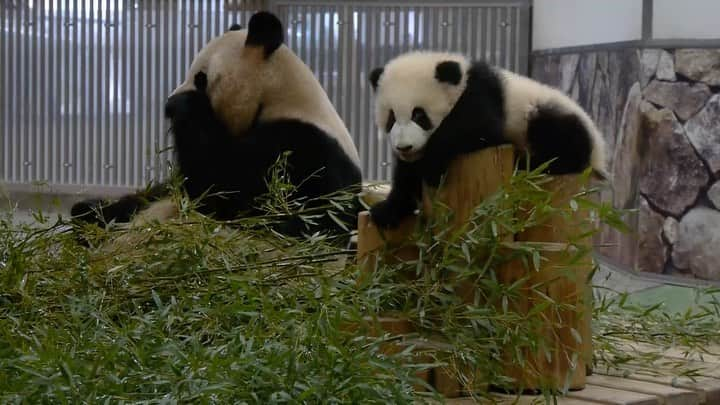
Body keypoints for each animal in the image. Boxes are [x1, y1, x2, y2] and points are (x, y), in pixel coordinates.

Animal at [71, 11, 360, 237]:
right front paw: (90, 209)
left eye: (201, 78)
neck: (278, 97)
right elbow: (170, 188)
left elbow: (223, 186)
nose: (167, 103)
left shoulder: (301, 150)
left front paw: (184, 104)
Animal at [366, 51, 608, 229]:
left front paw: (434, 167)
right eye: (391, 118)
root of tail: (599, 153)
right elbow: (407, 175)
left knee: (560, 143)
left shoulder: (481, 95)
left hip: (547, 116)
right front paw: (386, 211)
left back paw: (526, 163)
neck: (462, 79)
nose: (404, 147)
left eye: (419, 115)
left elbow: (478, 130)